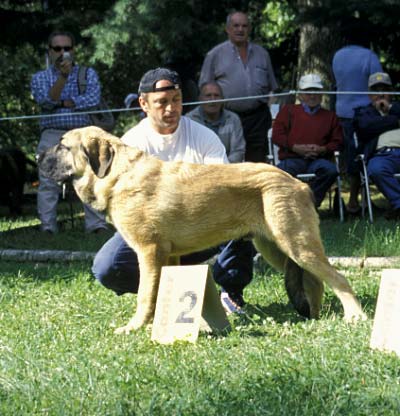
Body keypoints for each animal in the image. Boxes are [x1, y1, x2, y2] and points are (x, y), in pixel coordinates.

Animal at [38, 125, 366, 334]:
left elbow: (145, 295)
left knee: (339, 278)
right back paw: (315, 314)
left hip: (295, 244)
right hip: (277, 249)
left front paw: (134, 327)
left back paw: (355, 316)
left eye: (63, 146)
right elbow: (159, 291)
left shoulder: (149, 252)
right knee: (317, 281)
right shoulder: (167, 257)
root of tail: (300, 184)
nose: (38, 157)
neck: (117, 174)